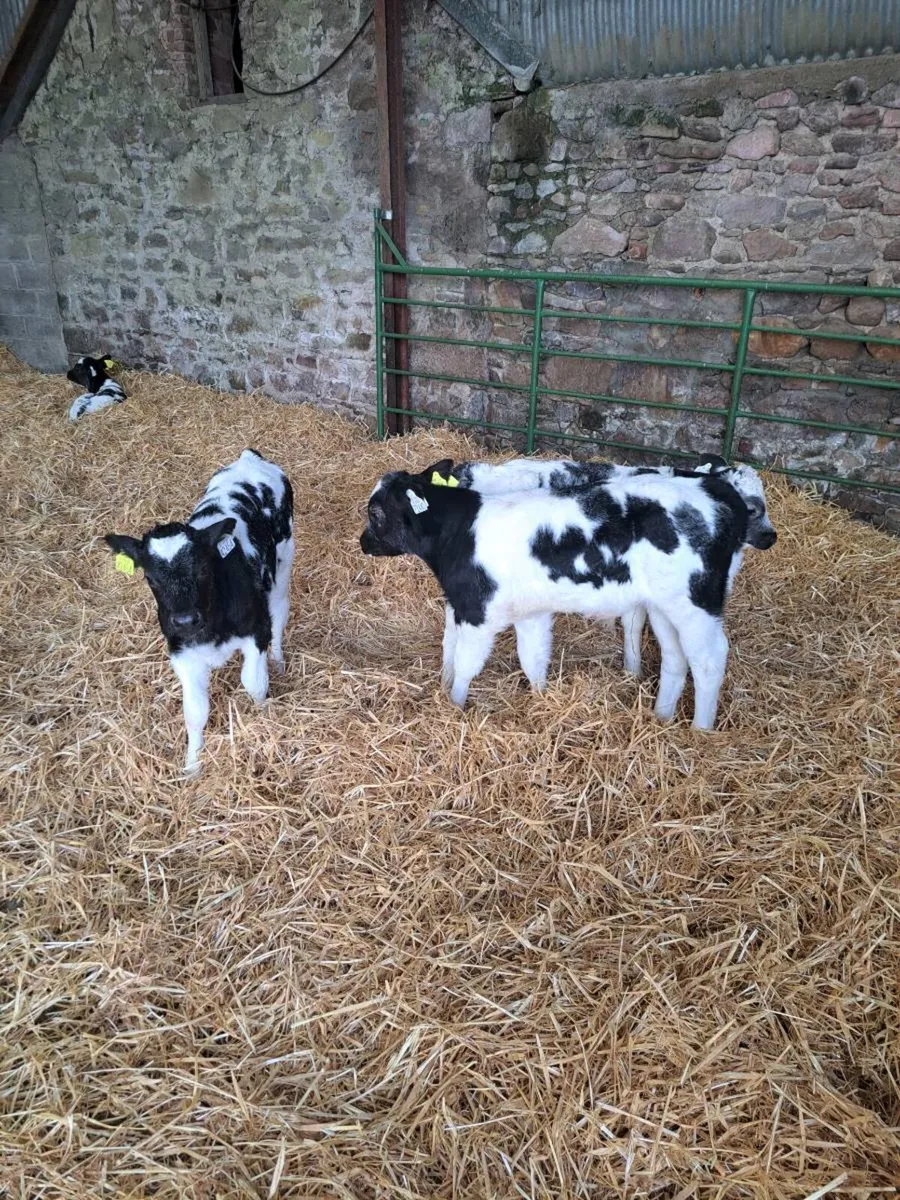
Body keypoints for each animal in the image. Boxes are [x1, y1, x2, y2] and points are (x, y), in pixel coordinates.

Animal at [105, 449, 294, 773]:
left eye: (203, 568)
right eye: (150, 578)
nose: (184, 619)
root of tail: (249, 458)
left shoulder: (257, 630)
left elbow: (254, 683)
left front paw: (263, 716)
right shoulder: (181, 652)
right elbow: (194, 711)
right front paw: (192, 764)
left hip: (283, 565)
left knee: (280, 614)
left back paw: (279, 660)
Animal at [360, 462, 775, 730]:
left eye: (375, 512)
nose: (363, 542)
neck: (459, 531)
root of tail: (717, 489)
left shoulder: (477, 610)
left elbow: (464, 665)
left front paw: (454, 708)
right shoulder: (530, 612)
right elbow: (533, 660)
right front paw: (542, 701)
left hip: (697, 601)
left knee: (709, 660)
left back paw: (700, 731)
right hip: (664, 606)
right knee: (676, 657)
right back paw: (661, 717)